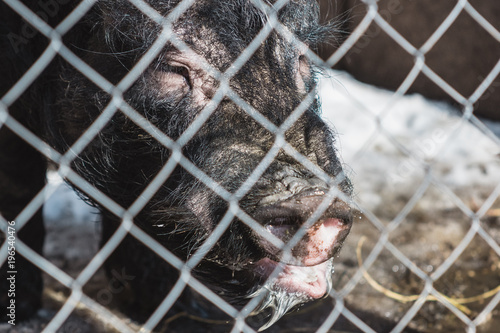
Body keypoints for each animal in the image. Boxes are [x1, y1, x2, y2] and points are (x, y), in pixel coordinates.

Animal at [0, 0, 352, 328]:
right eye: (172, 69)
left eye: (301, 60)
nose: (314, 198)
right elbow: (18, 186)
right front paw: (20, 312)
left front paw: (173, 316)